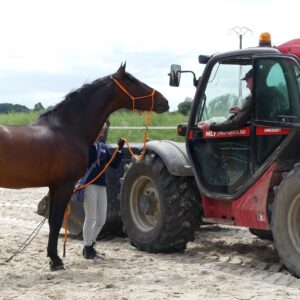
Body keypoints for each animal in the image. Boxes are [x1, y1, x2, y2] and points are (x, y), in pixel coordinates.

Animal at [0, 63, 169, 272]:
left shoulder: (54, 186)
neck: (67, 129)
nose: (164, 101)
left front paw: (53, 258)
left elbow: (52, 221)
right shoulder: (65, 185)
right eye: (132, 81)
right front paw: (56, 260)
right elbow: (56, 221)